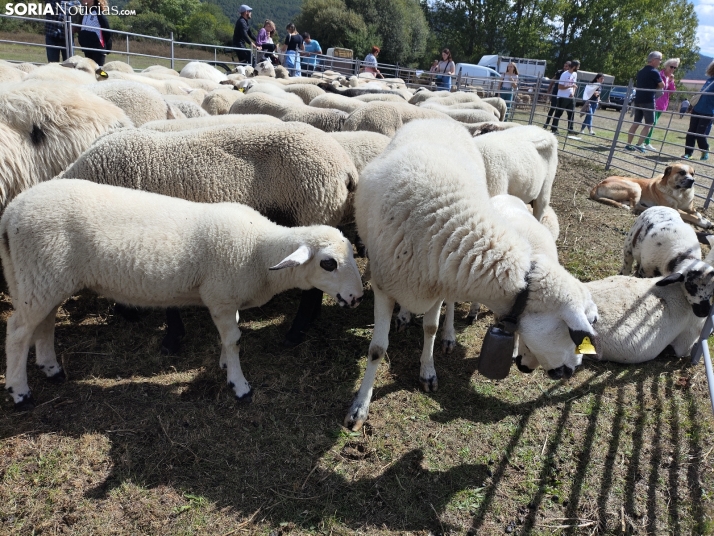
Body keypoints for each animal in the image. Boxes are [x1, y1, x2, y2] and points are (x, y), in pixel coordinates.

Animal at [1, 178, 362, 408]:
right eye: (328, 263)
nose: (357, 297)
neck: (258, 250)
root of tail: (12, 212)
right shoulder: (220, 294)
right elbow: (234, 338)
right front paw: (239, 385)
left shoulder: (225, 298)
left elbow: (229, 335)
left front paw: (224, 365)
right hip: (40, 274)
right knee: (17, 332)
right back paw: (20, 393)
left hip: (41, 278)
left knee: (44, 323)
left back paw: (52, 369)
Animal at [344, 119, 596, 430]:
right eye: (573, 333)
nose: (571, 371)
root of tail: (438, 119)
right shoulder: (385, 287)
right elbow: (377, 349)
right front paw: (360, 407)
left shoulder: (436, 288)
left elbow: (431, 328)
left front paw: (428, 371)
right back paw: (404, 315)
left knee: (450, 306)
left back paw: (448, 334)